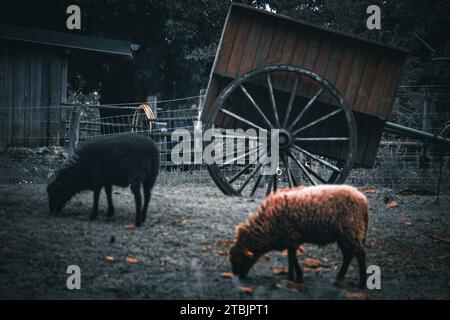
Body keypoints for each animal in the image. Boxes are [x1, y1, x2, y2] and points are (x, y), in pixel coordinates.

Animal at [230, 184, 368, 288]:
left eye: (239, 258)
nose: (237, 276)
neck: (268, 224)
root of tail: (363, 199)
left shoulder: (291, 236)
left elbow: (292, 258)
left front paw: (293, 277)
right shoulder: (291, 239)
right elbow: (292, 257)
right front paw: (296, 277)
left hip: (351, 230)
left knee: (360, 255)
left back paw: (361, 283)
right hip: (344, 234)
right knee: (348, 255)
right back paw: (339, 278)